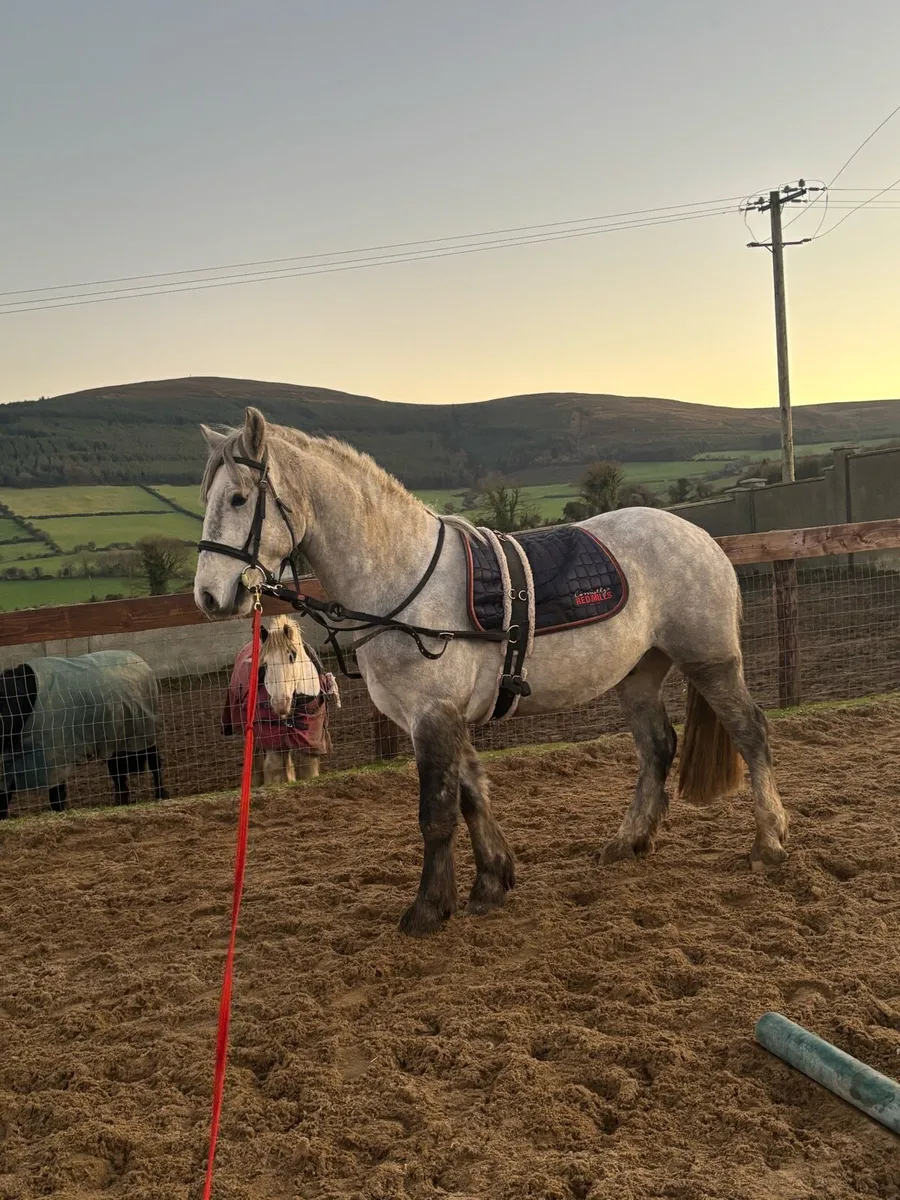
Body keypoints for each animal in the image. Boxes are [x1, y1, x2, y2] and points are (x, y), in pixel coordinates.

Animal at [0, 650, 169, 819]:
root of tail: (136, 658)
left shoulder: (53, 757)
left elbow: (56, 796)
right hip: (116, 741)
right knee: (119, 774)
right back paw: (122, 801)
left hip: (143, 731)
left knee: (154, 762)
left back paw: (161, 794)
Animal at [222, 614, 339, 785]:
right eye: (265, 663)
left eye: (292, 656)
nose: (280, 704)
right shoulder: (273, 742)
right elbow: (275, 772)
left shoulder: (309, 742)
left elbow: (307, 770)